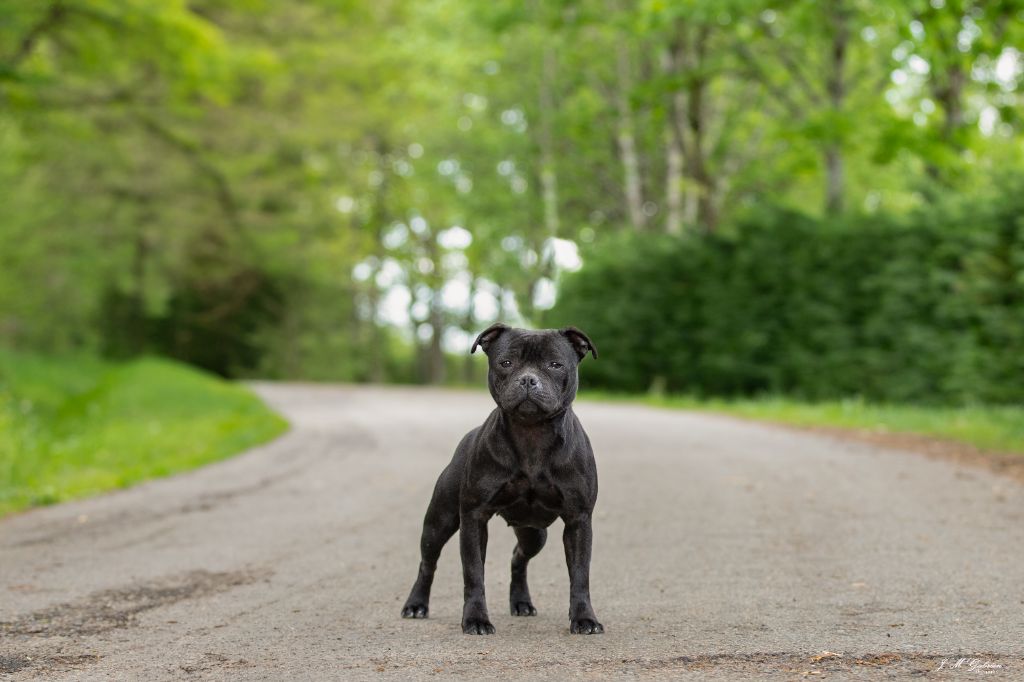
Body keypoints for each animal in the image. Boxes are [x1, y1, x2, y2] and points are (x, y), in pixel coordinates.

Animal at [397, 323, 598, 630]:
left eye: (555, 364)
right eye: (506, 363)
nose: (528, 380)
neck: (532, 435)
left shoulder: (579, 520)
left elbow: (580, 575)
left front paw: (585, 618)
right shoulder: (474, 518)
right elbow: (473, 574)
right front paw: (476, 619)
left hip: (534, 533)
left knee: (518, 557)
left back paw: (521, 602)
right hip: (439, 522)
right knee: (427, 563)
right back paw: (416, 604)